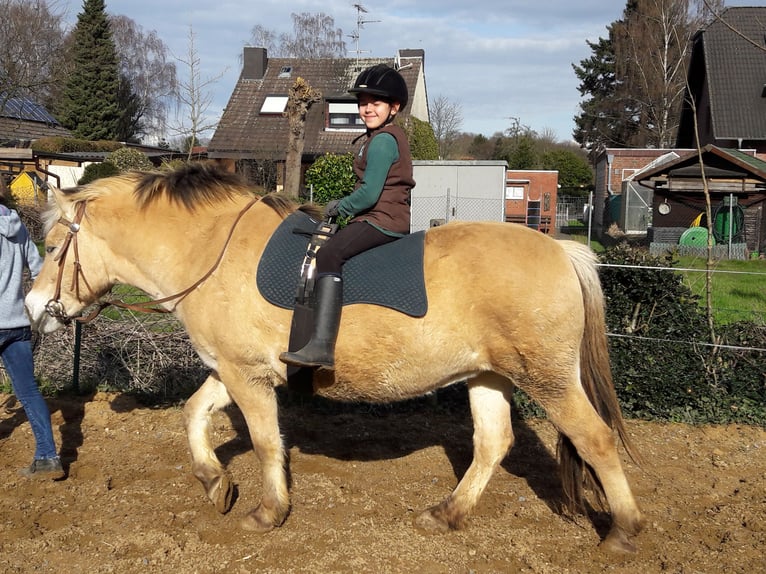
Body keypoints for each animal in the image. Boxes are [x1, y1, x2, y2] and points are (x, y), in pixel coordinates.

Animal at [25, 162, 648, 552]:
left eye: (52, 248)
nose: (32, 307)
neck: (213, 251)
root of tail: (562, 250)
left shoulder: (246, 376)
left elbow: (265, 442)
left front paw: (268, 511)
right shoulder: (234, 369)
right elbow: (193, 413)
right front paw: (214, 482)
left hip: (548, 380)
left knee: (596, 440)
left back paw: (623, 531)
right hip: (488, 375)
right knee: (493, 442)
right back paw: (448, 513)